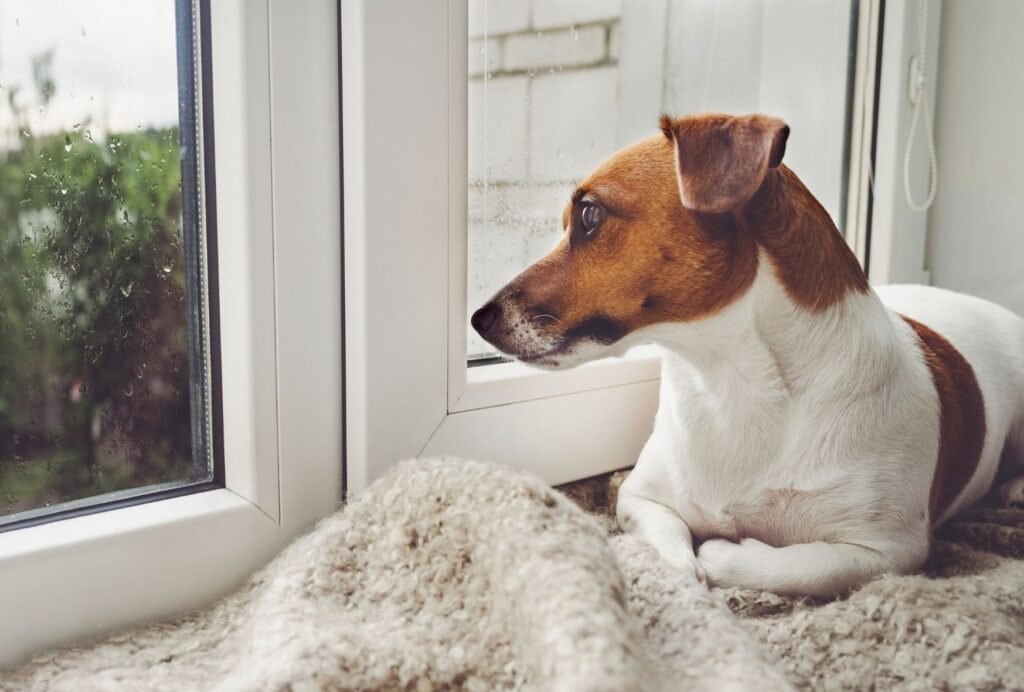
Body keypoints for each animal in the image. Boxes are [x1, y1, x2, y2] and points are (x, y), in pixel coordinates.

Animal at [473, 112, 1024, 593]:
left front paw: (722, 554)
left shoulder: (887, 551)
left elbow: (798, 566)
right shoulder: (639, 495)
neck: (731, 382)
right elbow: (670, 546)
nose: (478, 319)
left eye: (589, 216)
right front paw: (684, 572)